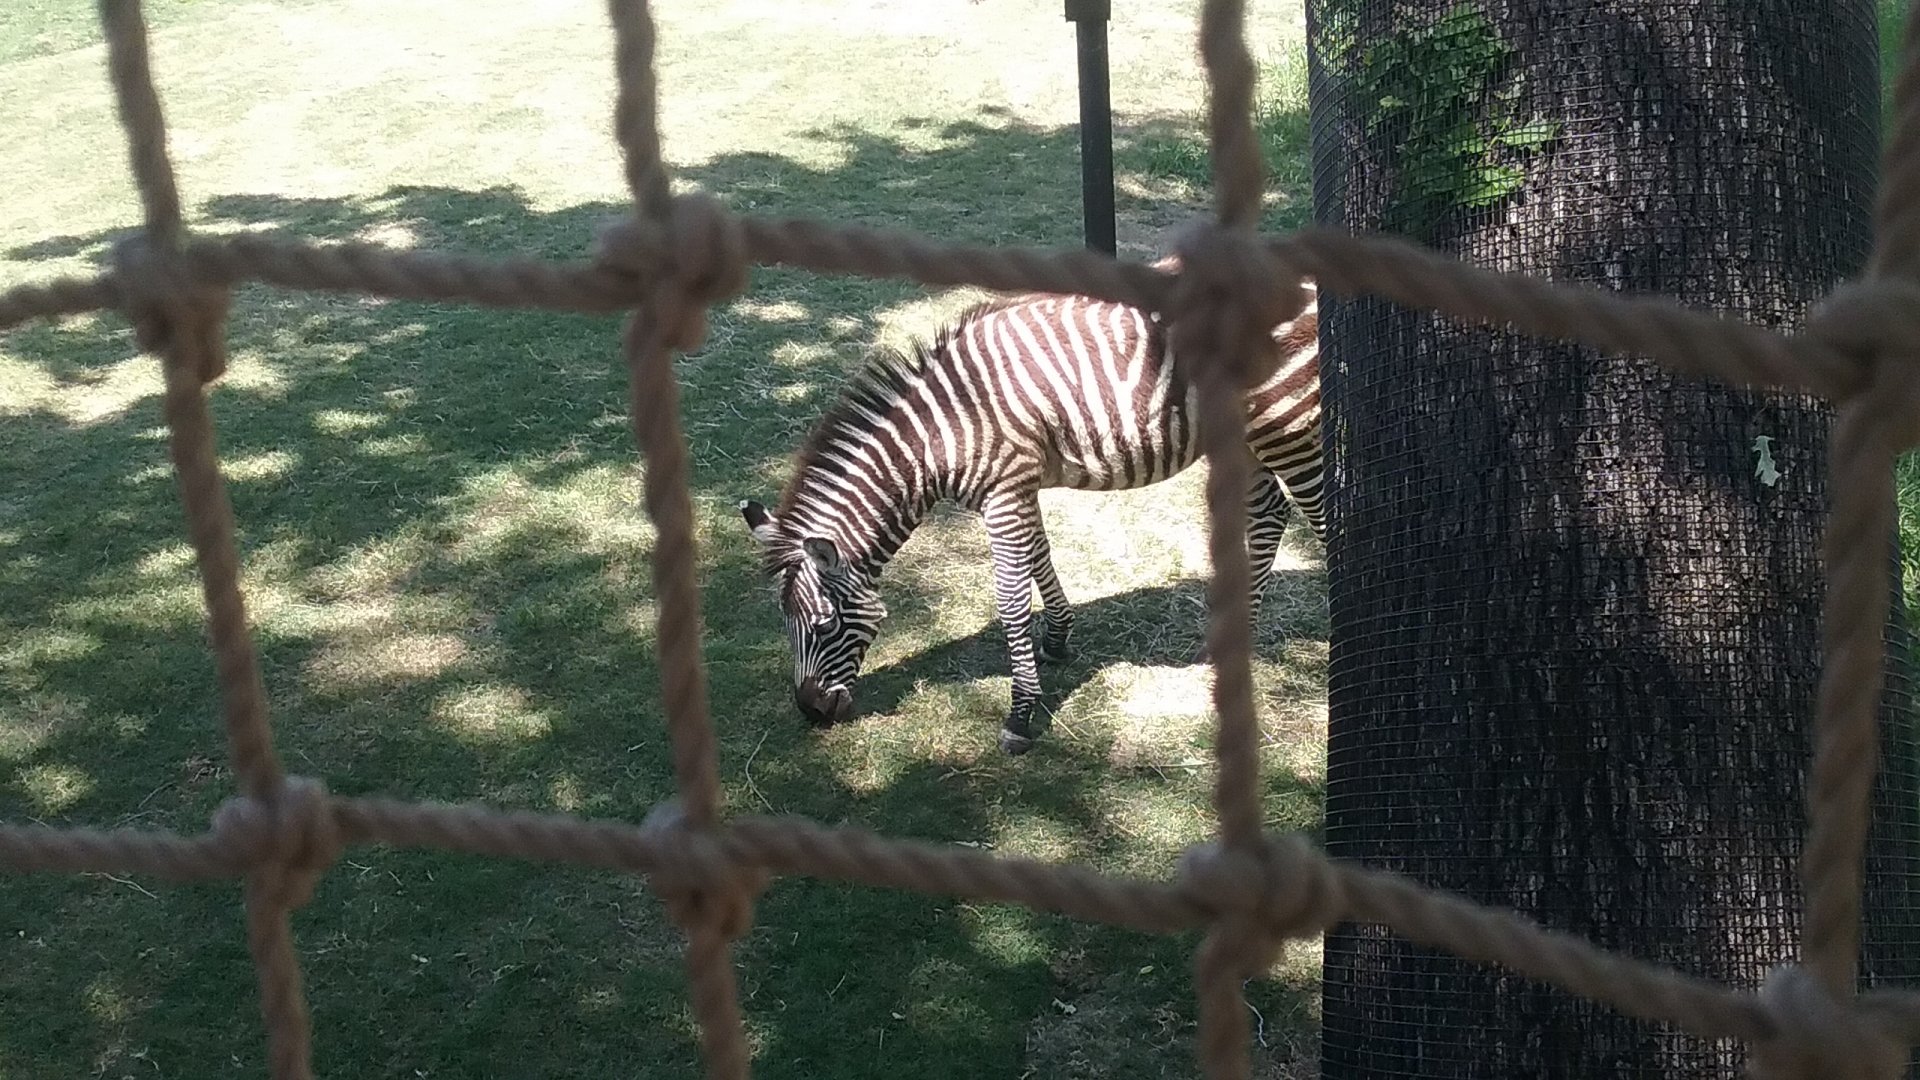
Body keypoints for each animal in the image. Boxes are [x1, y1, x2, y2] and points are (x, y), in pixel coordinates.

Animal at [738, 276, 1322, 755]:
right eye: (783, 622)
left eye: (824, 624)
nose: (810, 711)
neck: (944, 432)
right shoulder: (1017, 487)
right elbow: (1041, 556)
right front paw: (1058, 638)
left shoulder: (1005, 490)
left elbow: (1012, 602)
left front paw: (1020, 713)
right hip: (1250, 439)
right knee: (1269, 513)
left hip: (1289, 431)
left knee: (1317, 515)